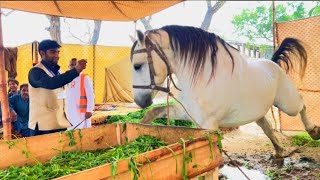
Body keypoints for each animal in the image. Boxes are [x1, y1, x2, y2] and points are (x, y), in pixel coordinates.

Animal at [129, 25, 318, 158]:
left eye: (137, 65)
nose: (139, 101)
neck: (203, 78)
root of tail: (274, 64)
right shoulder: (189, 113)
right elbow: (154, 112)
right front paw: (139, 128)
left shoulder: (209, 125)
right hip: (259, 112)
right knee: (266, 126)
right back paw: (279, 150)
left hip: (287, 104)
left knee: (302, 103)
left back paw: (313, 131)